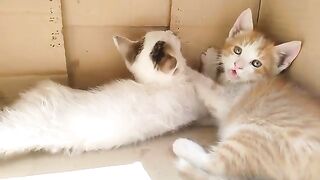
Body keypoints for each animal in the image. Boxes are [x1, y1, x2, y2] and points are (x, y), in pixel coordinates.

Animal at [174, 8, 320, 180]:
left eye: (256, 63)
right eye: (238, 50)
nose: (237, 65)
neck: (234, 83)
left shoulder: (226, 100)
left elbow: (205, 83)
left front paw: (183, 65)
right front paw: (210, 59)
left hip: (255, 135)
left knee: (216, 164)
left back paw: (182, 148)